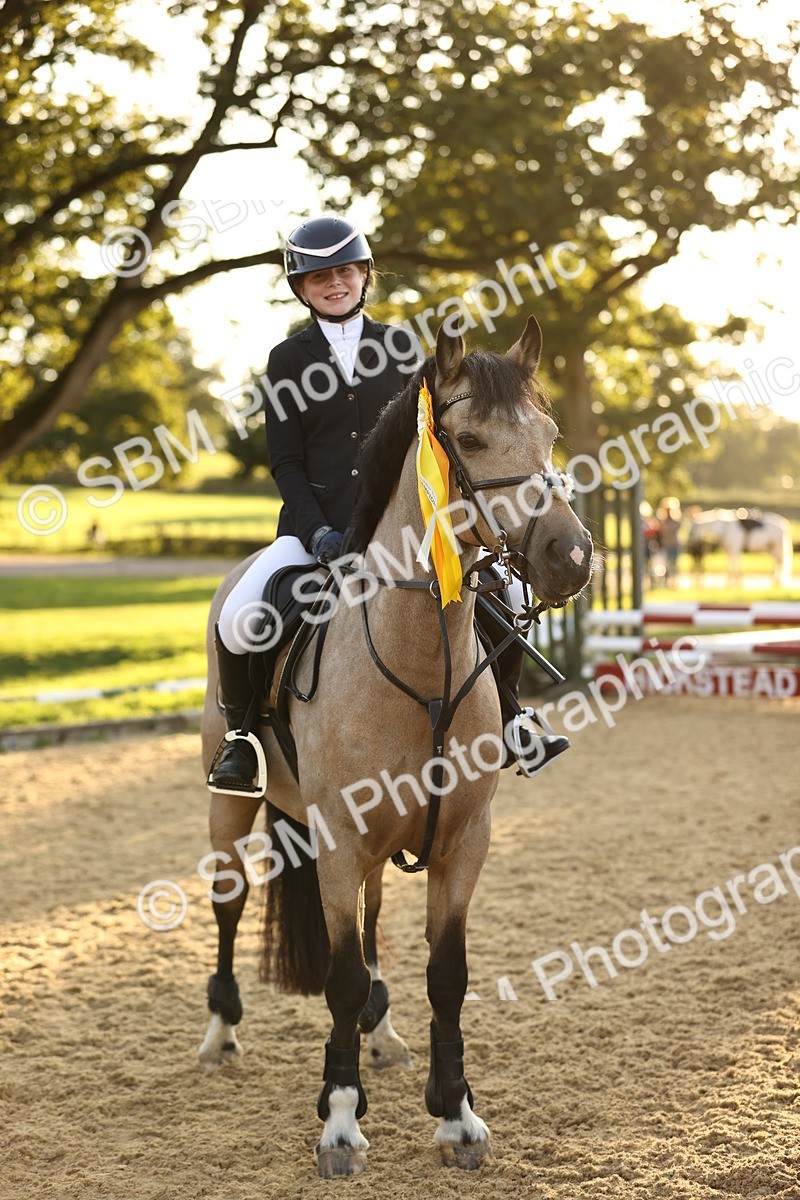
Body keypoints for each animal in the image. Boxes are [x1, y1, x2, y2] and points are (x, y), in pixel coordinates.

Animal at [198, 317, 594, 1177]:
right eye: (469, 440)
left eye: (550, 435)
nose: (572, 558)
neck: (420, 661)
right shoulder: (339, 839)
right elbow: (341, 978)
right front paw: (341, 1122)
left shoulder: (464, 839)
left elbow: (447, 974)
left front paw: (458, 1115)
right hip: (230, 806)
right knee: (229, 899)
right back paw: (220, 1033)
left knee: (375, 918)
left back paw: (380, 1036)